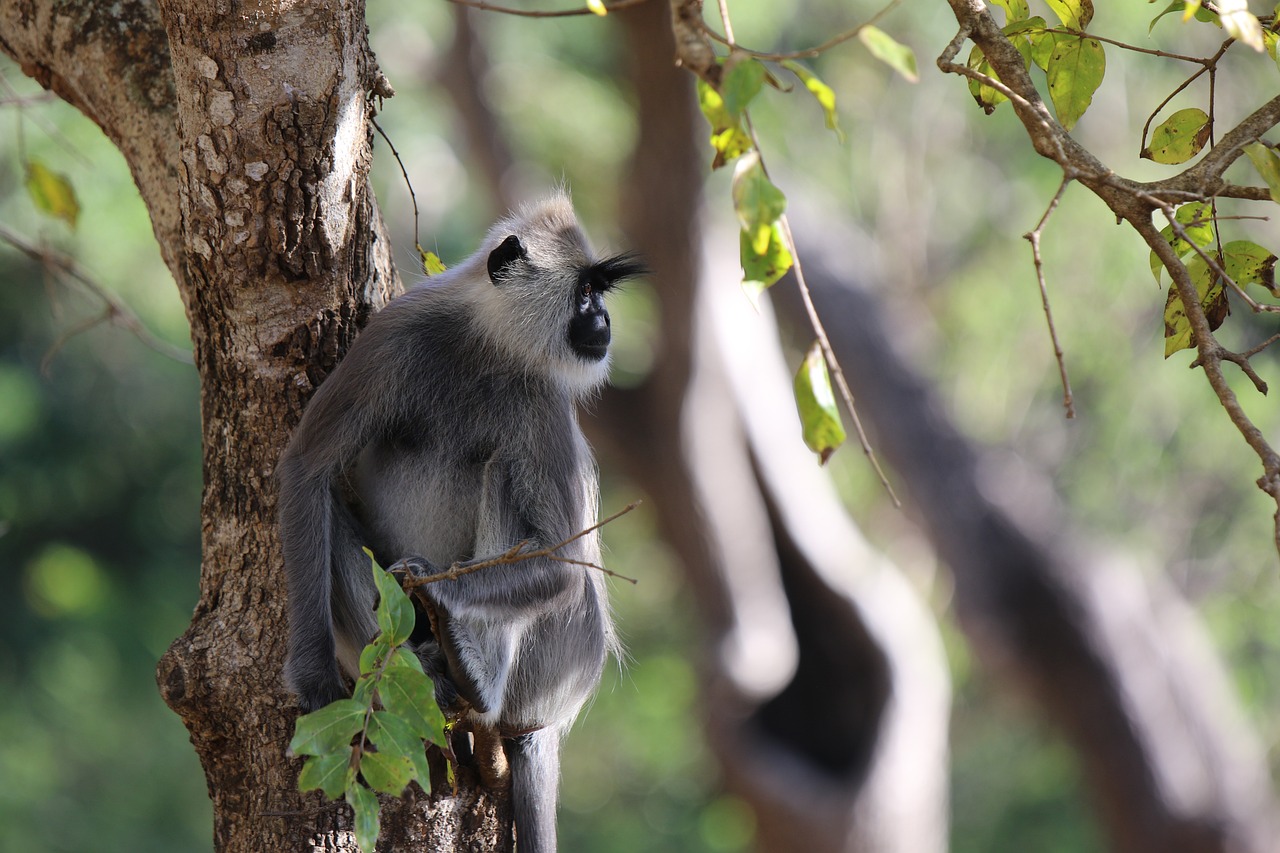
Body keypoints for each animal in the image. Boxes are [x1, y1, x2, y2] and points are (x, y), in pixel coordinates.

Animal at [276, 194, 644, 852]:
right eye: (585, 294)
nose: (603, 320)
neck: (486, 342)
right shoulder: (394, 333)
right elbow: (307, 468)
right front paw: (313, 672)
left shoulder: (544, 402)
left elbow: (559, 569)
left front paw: (442, 595)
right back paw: (428, 668)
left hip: (559, 655)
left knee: (503, 474)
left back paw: (473, 673)